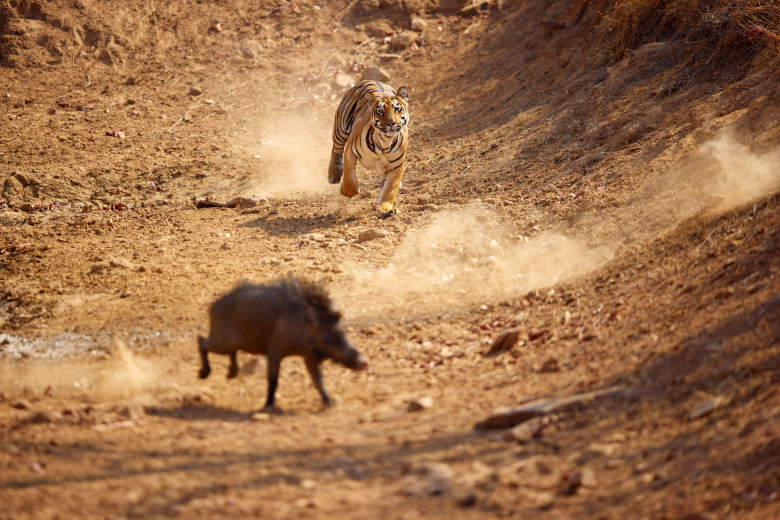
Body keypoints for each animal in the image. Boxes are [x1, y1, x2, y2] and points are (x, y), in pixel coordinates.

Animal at [328, 79, 412, 219]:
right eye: (380, 111)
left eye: (397, 109)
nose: (391, 123)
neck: (385, 142)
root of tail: (371, 80)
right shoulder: (350, 151)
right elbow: (349, 178)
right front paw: (347, 192)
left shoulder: (396, 167)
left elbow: (389, 191)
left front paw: (385, 210)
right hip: (341, 128)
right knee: (336, 150)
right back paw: (333, 174)